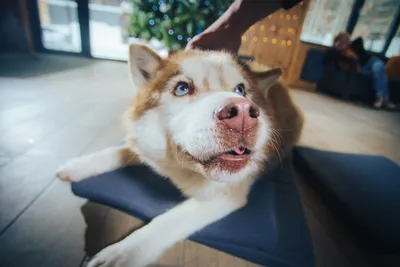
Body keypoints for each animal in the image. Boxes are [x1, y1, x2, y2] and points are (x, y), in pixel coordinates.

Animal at [56, 45, 304, 267]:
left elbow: (168, 219)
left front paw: (123, 253)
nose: (243, 112)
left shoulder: (229, 192)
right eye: (183, 88)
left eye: (241, 90)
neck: (181, 167)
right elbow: (121, 150)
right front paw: (77, 165)